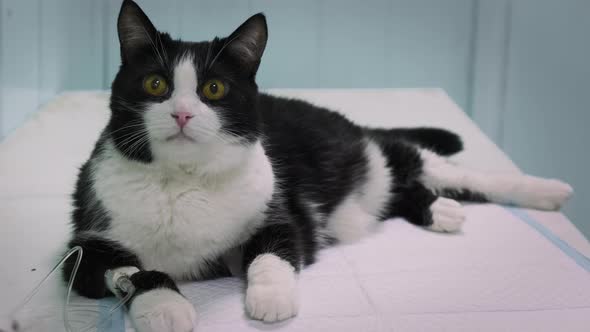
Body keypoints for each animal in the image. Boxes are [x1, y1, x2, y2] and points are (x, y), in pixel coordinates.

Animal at [62, 1, 576, 330]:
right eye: (155, 84)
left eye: (213, 89)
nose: (183, 113)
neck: (184, 182)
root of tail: (348, 122)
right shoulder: (84, 246)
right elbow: (125, 272)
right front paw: (164, 307)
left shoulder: (278, 212)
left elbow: (270, 252)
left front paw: (271, 298)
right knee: (404, 187)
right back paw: (440, 210)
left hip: (371, 154)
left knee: (437, 166)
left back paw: (546, 191)